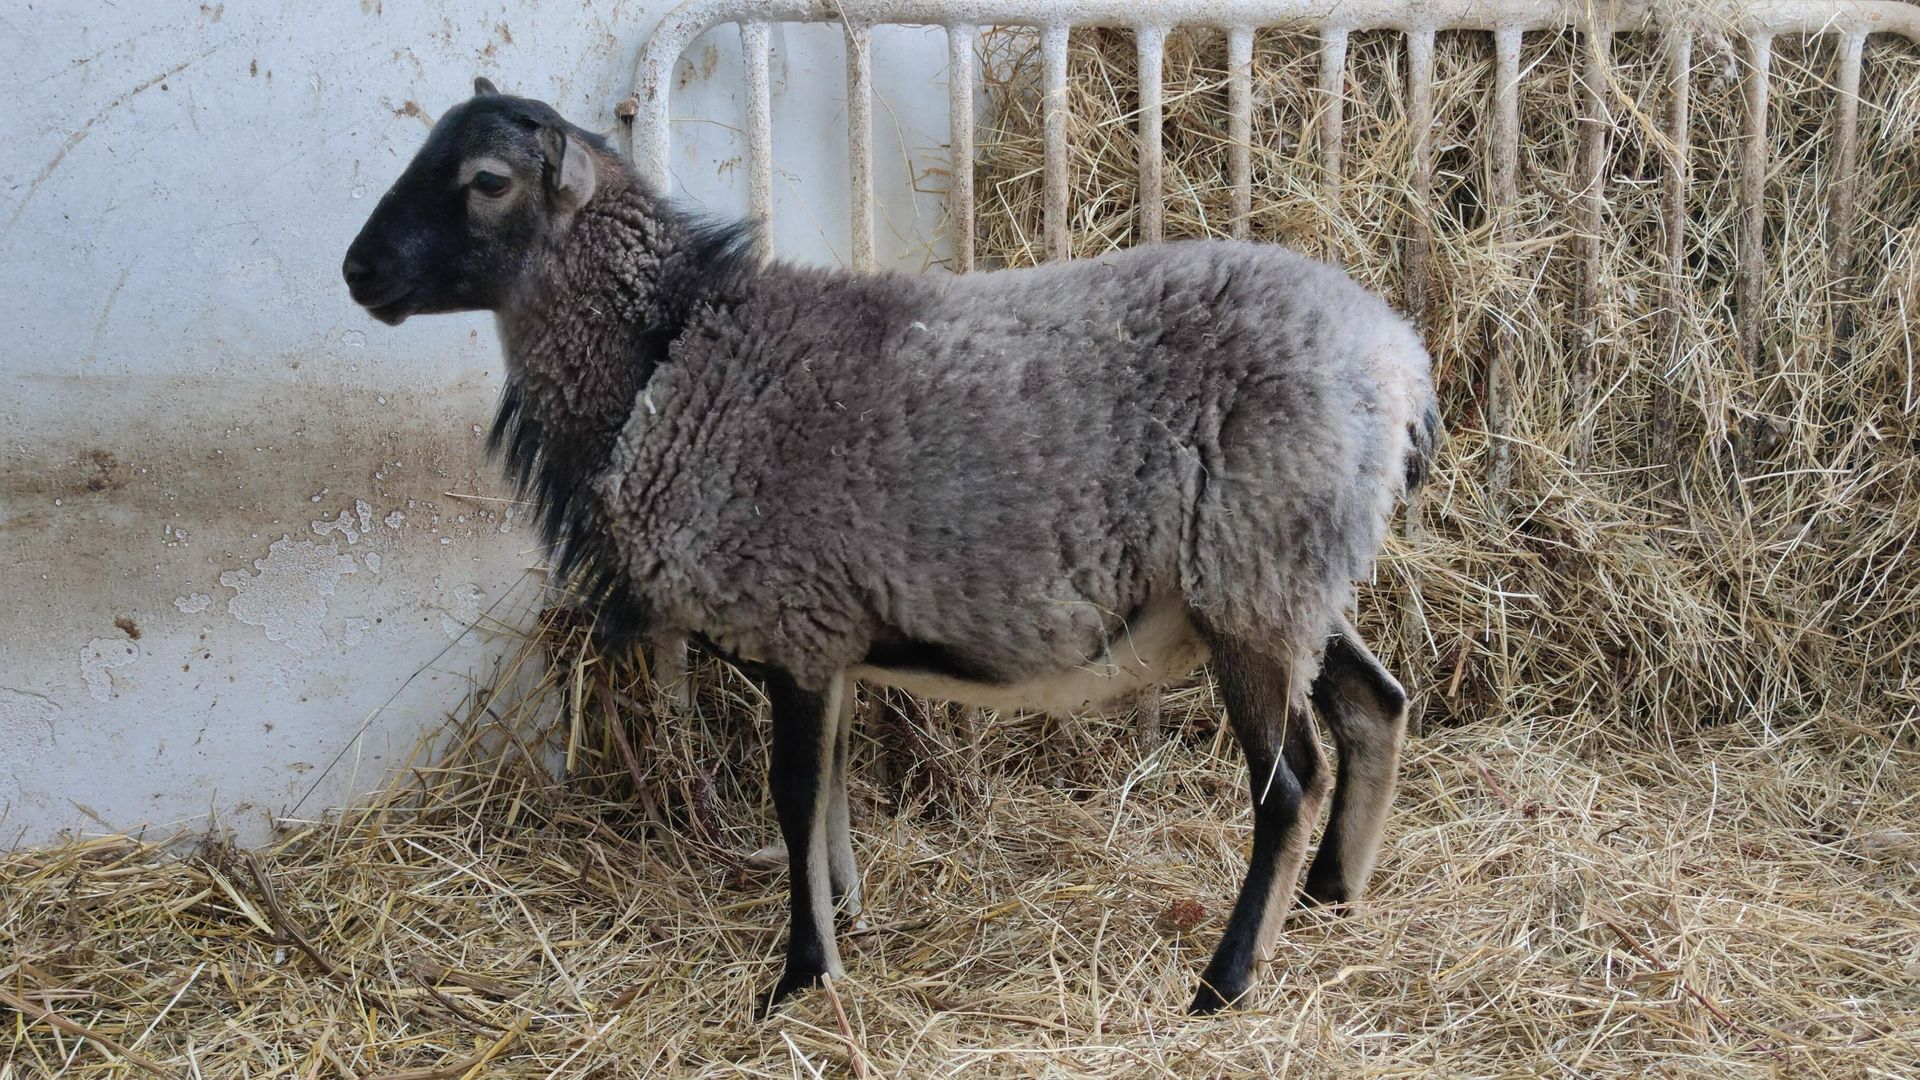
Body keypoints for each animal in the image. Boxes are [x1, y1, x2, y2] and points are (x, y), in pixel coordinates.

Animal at [343, 80, 1441, 1016]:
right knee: (1374, 704)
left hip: (1255, 573)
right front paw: (844, 922)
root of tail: (1400, 361)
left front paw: (798, 975)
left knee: (1288, 786)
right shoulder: (824, 639)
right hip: (1288, 578)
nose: (358, 272)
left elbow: (793, 799)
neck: (667, 362)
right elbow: (827, 798)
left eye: (488, 181)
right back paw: (1332, 899)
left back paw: (1226, 981)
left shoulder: (795, 625)